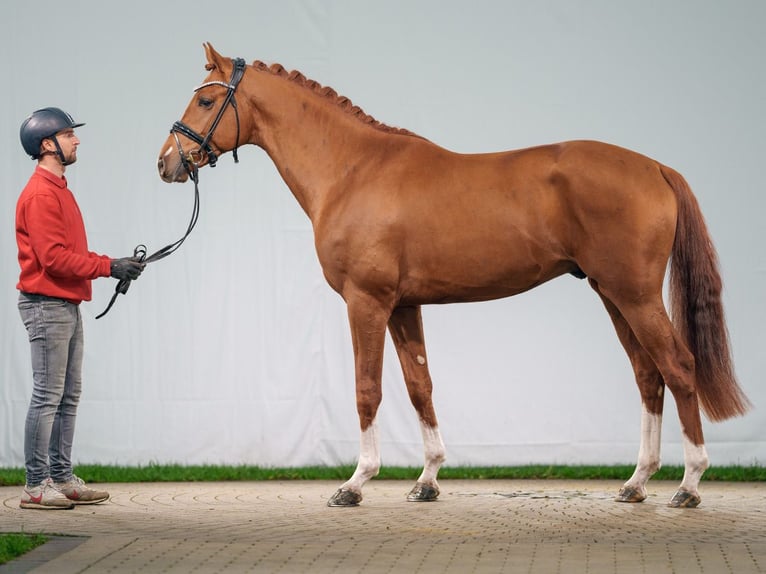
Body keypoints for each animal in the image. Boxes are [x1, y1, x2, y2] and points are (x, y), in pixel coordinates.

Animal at [156, 46, 752, 512]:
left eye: (205, 101)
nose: (167, 162)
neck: (352, 169)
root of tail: (656, 167)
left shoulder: (365, 302)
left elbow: (367, 389)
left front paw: (355, 483)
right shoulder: (403, 306)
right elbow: (420, 385)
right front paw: (427, 480)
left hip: (635, 295)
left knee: (678, 367)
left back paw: (689, 485)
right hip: (613, 294)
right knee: (649, 376)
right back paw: (636, 483)